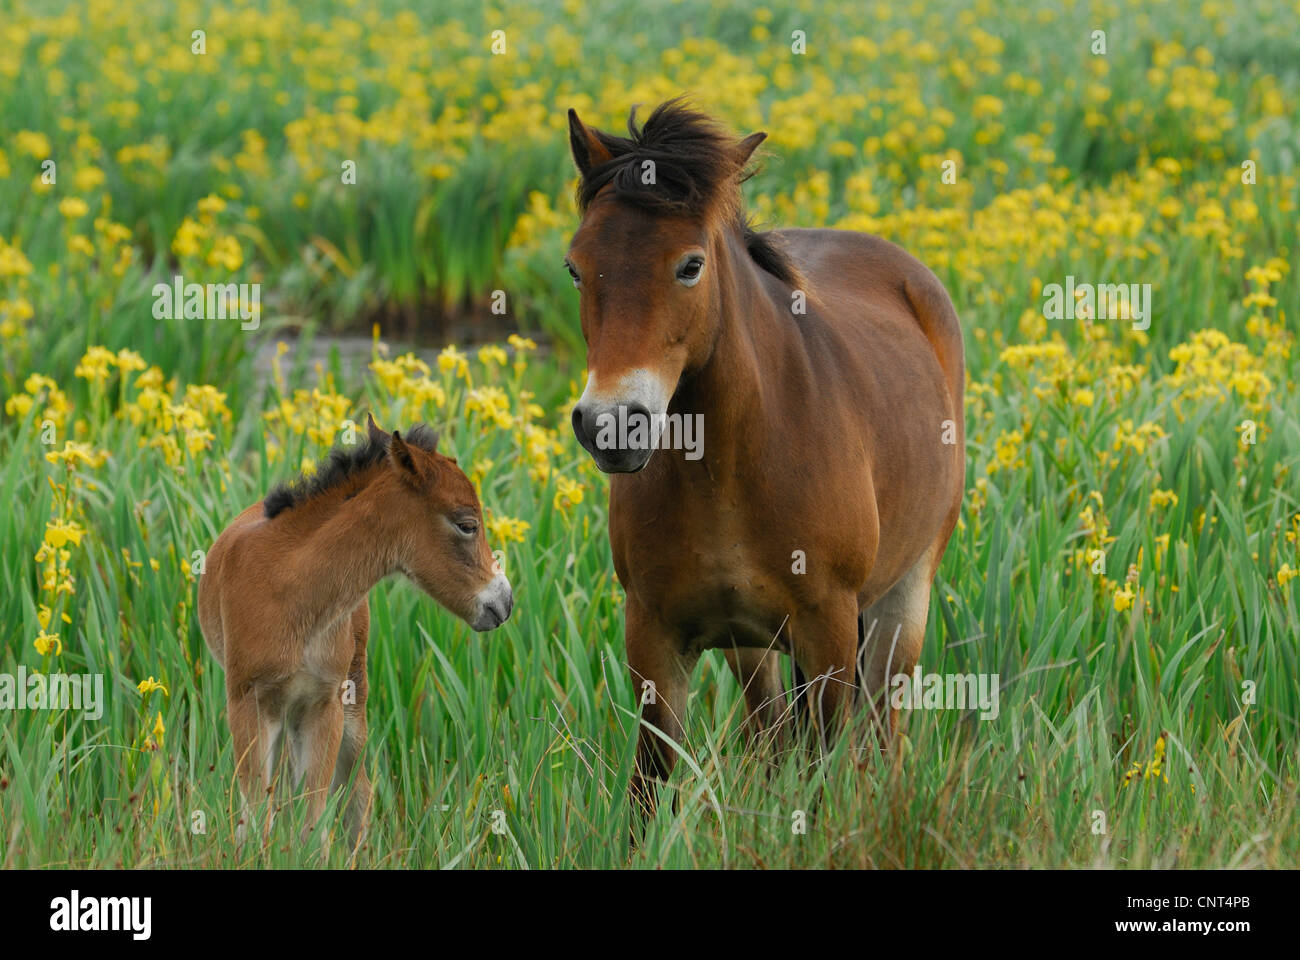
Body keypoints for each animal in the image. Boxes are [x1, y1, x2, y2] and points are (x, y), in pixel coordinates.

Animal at [198, 415, 513, 846]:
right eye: (467, 524)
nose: (503, 602)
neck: (292, 590)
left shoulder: (324, 703)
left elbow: (314, 822)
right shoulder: (246, 701)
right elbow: (258, 817)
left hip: (350, 701)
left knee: (355, 792)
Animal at [564, 99, 965, 820]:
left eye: (690, 265)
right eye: (575, 267)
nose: (611, 425)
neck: (724, 468)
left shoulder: (829, 627)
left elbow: (830, 767)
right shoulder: (654, 634)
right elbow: (650, 785)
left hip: (903, 602)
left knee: (881, 737)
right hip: (750, 645)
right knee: (774, 737)